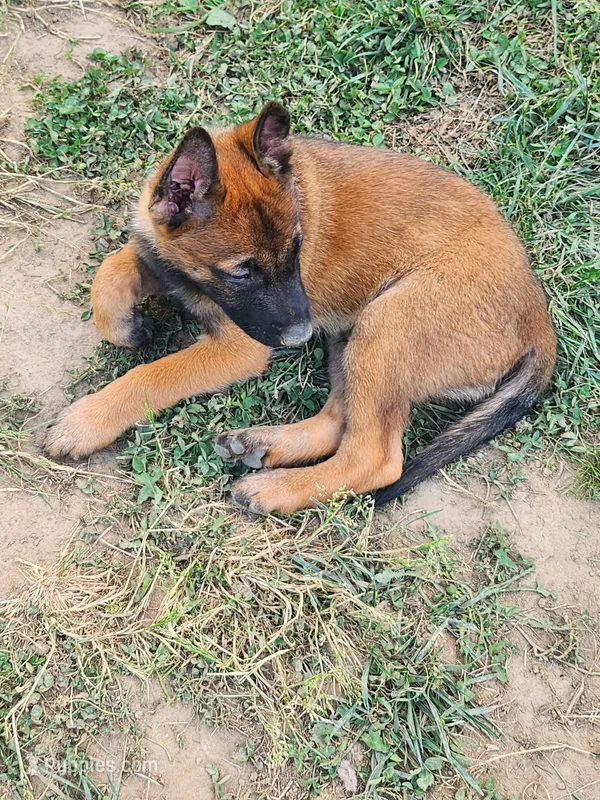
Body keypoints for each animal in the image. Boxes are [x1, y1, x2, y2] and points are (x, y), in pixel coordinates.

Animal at [45, 101, 556, 515]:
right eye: (242, 272)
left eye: (297, 249)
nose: (300, 336)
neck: (191, 279)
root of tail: (540, 324)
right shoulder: (156, 253)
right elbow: (111, 271)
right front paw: (126, 326)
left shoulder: (239, 348)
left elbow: (152, 375)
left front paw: (85, 422)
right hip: (352, 336)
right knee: (339, 422)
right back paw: (262, 445)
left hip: (386, 325)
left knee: (374, 457)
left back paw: (275, 489)